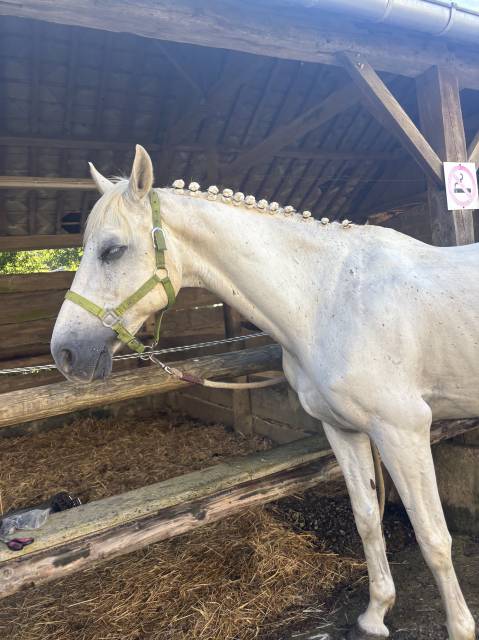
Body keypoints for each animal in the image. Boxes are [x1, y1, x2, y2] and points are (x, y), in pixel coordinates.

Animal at [51, 145, 479, 640]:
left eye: (112, 250)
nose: (64, 353)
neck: (329, 298)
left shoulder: (403, 431)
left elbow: (434, 537)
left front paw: (461, 628)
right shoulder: (343, 430)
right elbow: (368, 519)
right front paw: (376, 614)